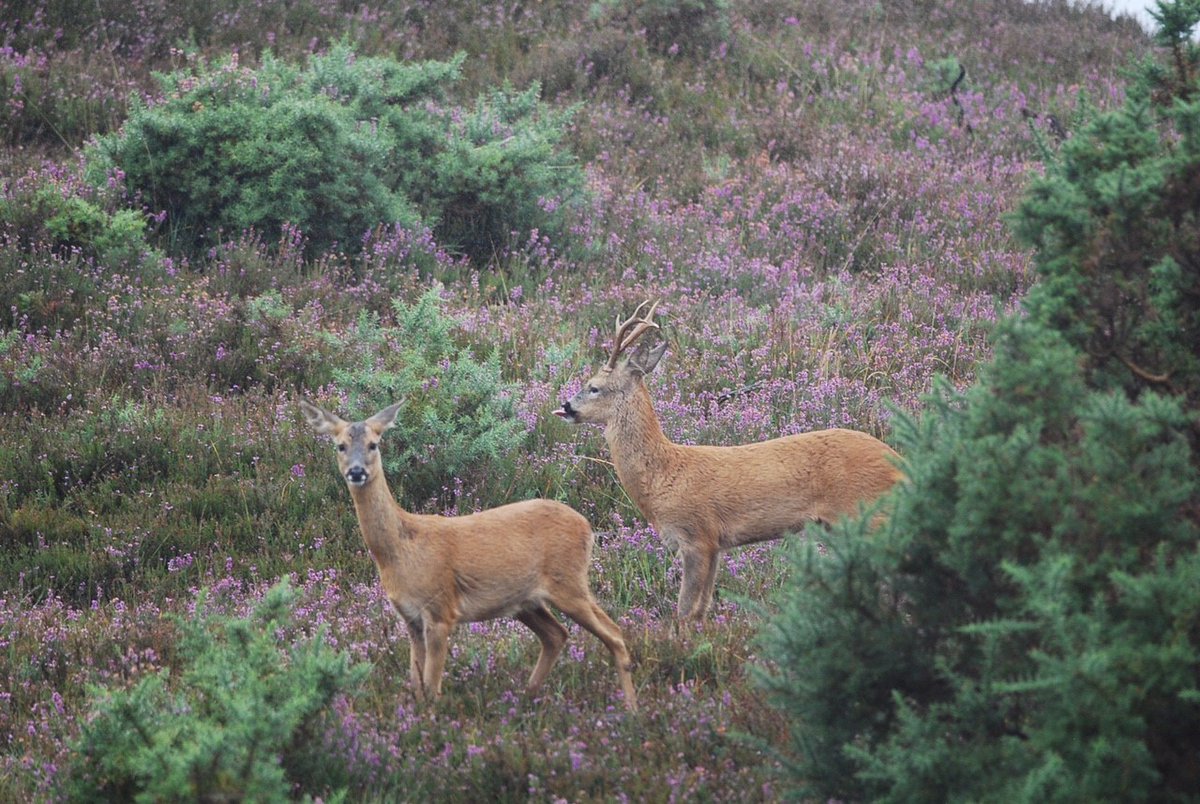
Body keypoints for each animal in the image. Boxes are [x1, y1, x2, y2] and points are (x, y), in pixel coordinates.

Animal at [299, 400, 638, 712]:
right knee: (557, 635)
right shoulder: (410, 618)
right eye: (340, 446)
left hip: (569, 582)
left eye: (373, 444)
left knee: (614, 633)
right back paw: (525, 698)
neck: (401, 551)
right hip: (525, 601)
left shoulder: (440, 609)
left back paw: (630, 709)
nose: (356, 472)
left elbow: (432, 687)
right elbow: (415, 682)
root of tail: (587, 526)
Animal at [554, 301, 903, 623]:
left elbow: (685, 610)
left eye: (594, 387)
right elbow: (702, 609)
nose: (566, 406)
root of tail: (899, 462)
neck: (662, 475)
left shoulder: (697, 535)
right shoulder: (717, 545)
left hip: (871, 516)